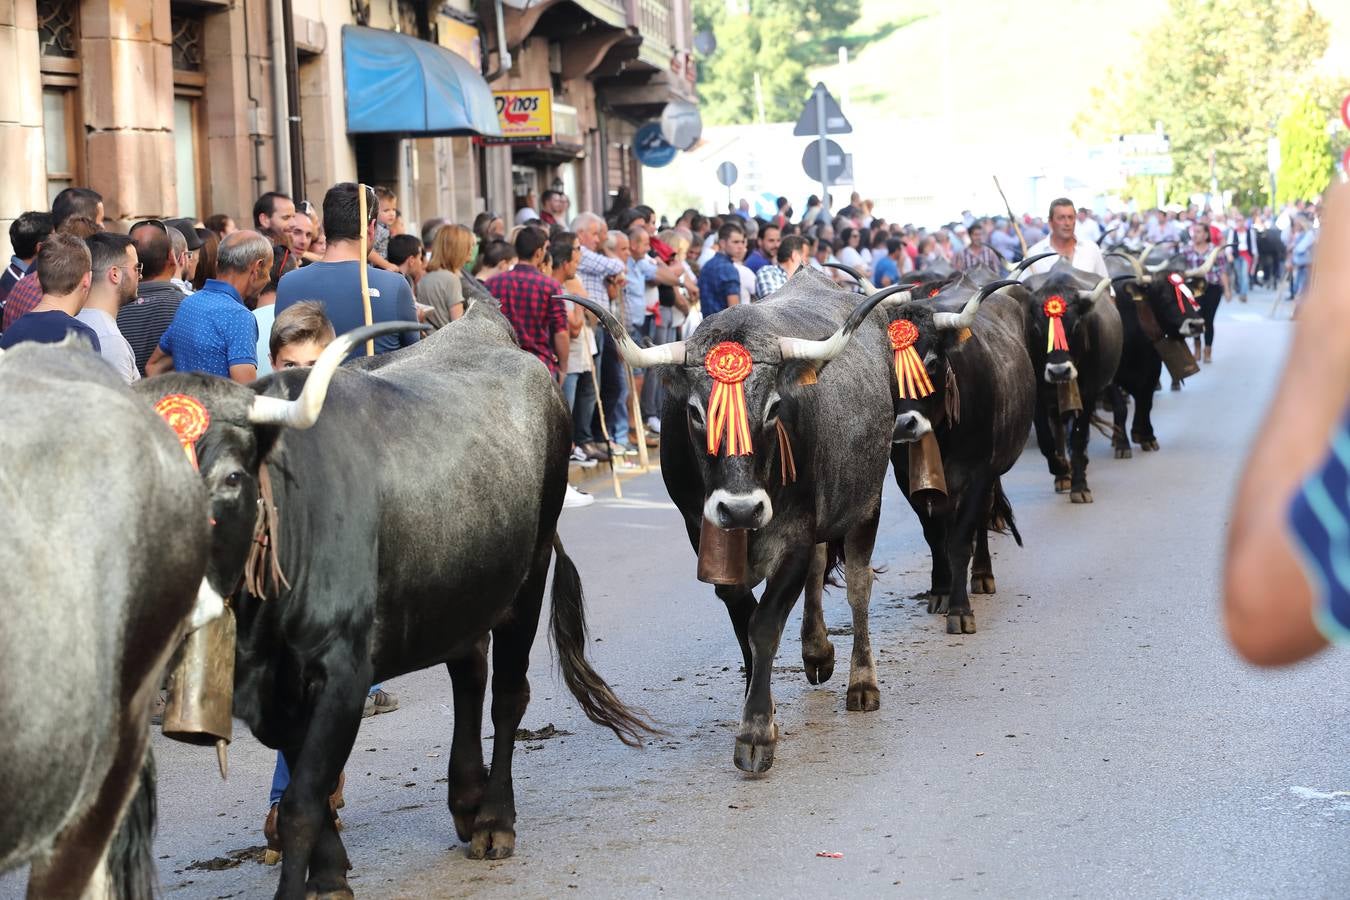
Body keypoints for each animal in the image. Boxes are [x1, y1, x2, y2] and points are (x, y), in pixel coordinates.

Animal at [132, 304, 653, 900]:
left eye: (231, 477)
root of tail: (483, 322)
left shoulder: (344, 674)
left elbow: (302, 804)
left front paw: (318, 879)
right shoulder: (275, 696)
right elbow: (303, 787)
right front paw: (330, 871)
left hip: (529, 573)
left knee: (507, 696)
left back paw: (493, 820)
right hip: (461, 587)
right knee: (469, 671)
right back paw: (465, 801)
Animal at [558, 271, 907, 777]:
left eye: (775, 408)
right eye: (695, 412)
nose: (741, 510)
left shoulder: (796, 535)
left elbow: (764, 625)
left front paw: (756, 732)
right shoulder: (703, 533)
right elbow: (744, 619)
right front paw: (761, 707)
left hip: (867, 503)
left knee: (859, 583)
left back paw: (862, 682)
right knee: (821, 569)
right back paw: (816, 652)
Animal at [1015, 264, 1123, 507]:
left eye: (1074, 325)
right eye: (1037, 329)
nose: (1059, 372)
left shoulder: (1088, 394)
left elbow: (1079, 436)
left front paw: (1080, 486)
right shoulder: (1038, 397)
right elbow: (1046, 439)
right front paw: (1060, 468)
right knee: (1058, 429)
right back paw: (1063, 475)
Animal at [1101, 242, 1220, 458]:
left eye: (1190, 294)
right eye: (1164, 296)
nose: (1197, 325)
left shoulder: (1152, 369)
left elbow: (1146, 402)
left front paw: (1145, 436)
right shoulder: (1112, 375)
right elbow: (1120, 407)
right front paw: (1122, 444)